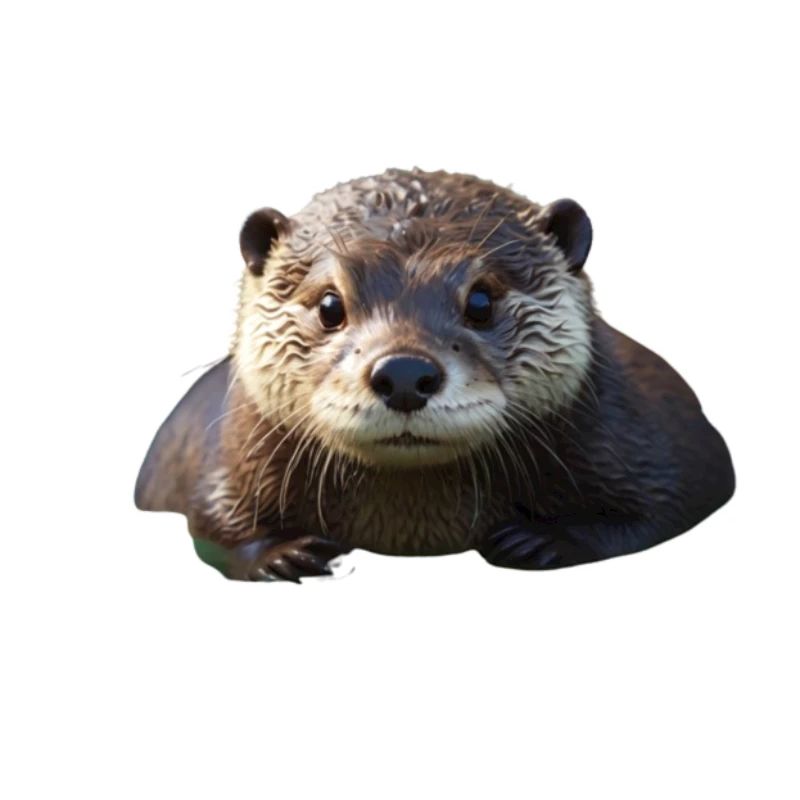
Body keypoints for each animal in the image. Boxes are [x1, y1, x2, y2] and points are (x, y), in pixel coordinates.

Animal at [134, 168, 735, 581]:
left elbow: (676, 503)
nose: (403, 372)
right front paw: (283, 554)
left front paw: (543, 541)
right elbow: (211, 525)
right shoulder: (226, 457)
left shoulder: (649, 438)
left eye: (482, 301)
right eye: (330, 305)